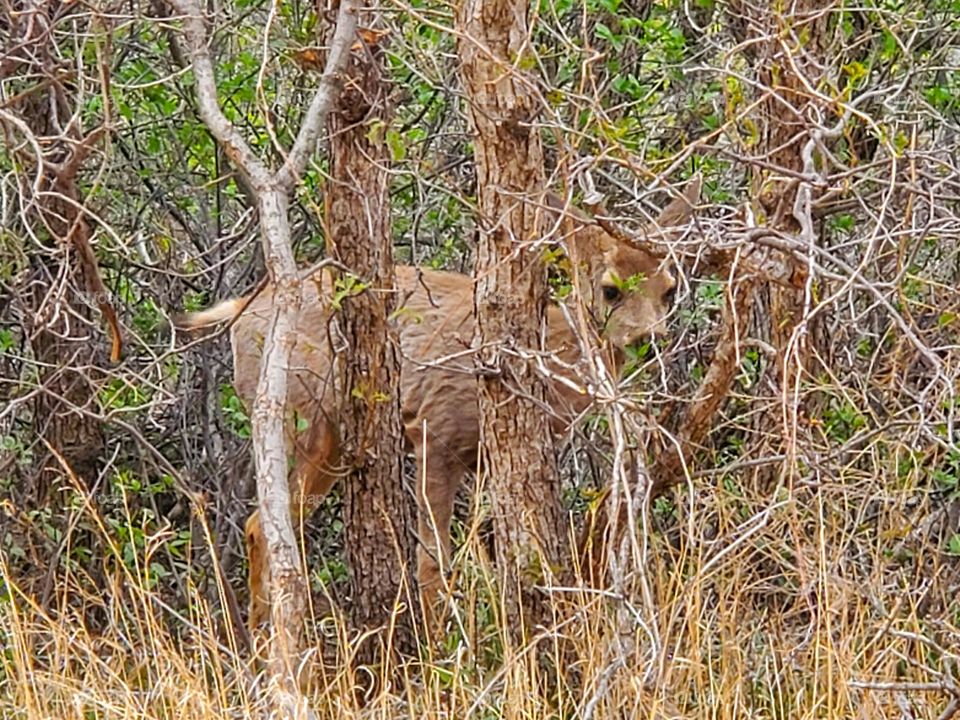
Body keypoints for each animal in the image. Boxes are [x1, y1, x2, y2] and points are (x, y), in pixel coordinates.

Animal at [175, 181, 699, 631]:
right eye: (611, 289)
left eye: (669, 289)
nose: (650, 339)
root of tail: (244, 306)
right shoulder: (437, 432)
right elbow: (433, 563)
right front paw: (439, 653)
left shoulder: (487, 458)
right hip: (302, 415)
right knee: (263, 525)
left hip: (334, 439)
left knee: (266, 524)